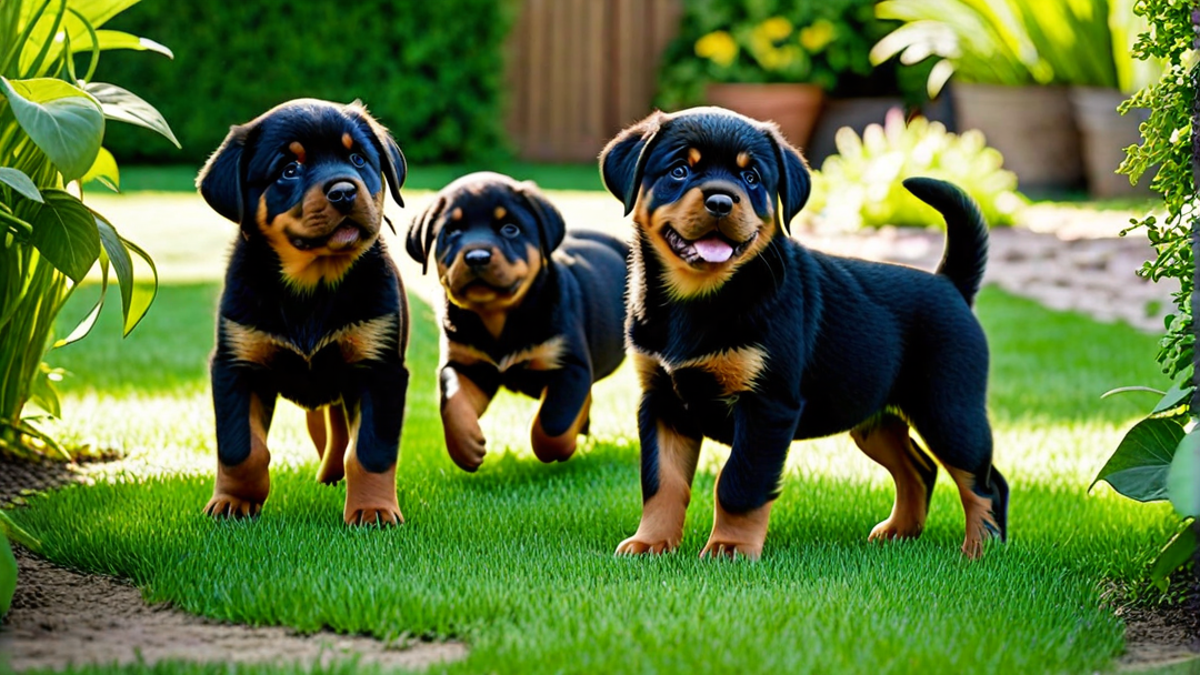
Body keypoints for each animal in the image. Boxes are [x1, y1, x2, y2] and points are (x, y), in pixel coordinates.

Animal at [193, 97, 408, 523]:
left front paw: (373, 509)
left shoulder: (381, 369)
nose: (344, 190)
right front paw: (234, 500)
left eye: (358, 159)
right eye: (289, 170)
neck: (312, 287)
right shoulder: (236, 364)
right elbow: (241, 448)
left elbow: (371, 450)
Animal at [405, 171, 628, 468]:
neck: (498, 318)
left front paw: (561, 448)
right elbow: (452, 399)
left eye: (510, 229)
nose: (477, 256)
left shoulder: (570, 364)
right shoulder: (466, 365)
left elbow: (553, 422)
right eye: (451, 231)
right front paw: (465, 445)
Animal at [597, 105, 1003, 557]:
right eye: (680, 170)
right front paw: (651, 543)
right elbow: (661, 482)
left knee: (984, 481)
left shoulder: (767, 406)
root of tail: (950, 284)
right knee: (921, 468)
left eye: (751, 177)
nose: (721, 200)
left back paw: (980, 551)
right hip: (872, 415)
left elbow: (739, 482)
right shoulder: (661, 402)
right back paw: (901, 531)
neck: (699, 298)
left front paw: (729, 548)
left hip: (948, 409)